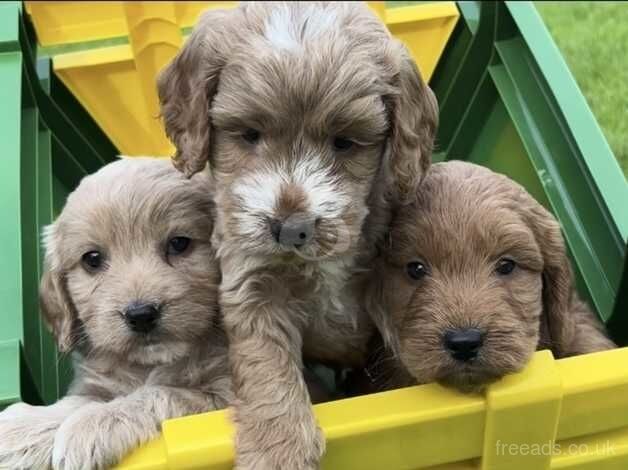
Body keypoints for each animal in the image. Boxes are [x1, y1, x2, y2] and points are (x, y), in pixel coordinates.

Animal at [0, 159, 233, 470]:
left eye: (179, 243)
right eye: (92, 259)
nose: (141, 315)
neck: (147, 364)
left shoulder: (226, 396)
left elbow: (163, 393)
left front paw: (93, 424)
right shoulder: (93, 386)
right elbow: (76, 403)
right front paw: (22, 428)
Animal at [158, 1, 436, 468]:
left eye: (345, 142)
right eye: (249, 134)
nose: (290, 228)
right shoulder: (250, 278)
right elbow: (266, 361)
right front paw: (280, 447)